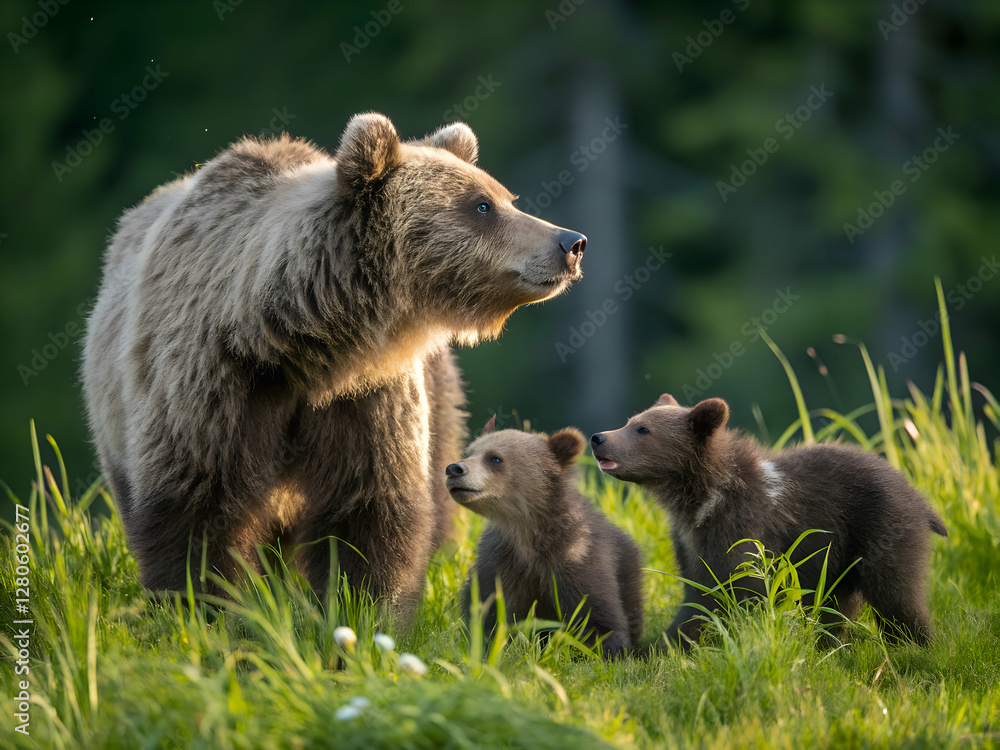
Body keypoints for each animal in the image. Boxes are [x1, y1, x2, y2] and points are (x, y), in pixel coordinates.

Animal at [81, 112, 587, 621]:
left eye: (505, 197)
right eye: (482, 205)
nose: (572, 241)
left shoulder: (365, 395)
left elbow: (368, 508)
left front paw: (365, 608)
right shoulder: (212, 381)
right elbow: (198, 506)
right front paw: (206, 607)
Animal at [446, 417, 644, 659]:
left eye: (495, 458)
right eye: (470, 452)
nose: (454, 469)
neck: (527, 532)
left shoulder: (577, 557)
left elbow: (598, 617)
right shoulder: (500, 561)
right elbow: (486, 611)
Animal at [590, 394, 947, 650]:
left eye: (643, 429)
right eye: (630, 421)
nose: (598, 437)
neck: (701, 499)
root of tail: (920, 498)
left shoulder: (743, 527)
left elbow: (742, 589)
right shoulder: (690, 540)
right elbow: (699, 592)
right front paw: (662, 645)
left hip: (881, 529)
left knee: (896, 594)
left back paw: (916, 646)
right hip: (840, 558)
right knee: (836, 604)